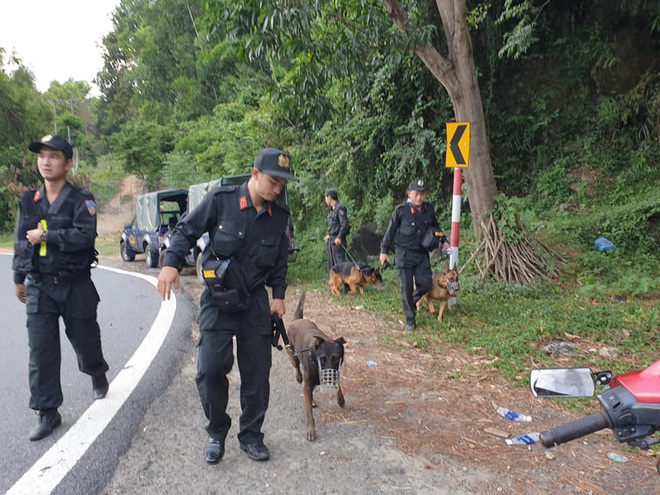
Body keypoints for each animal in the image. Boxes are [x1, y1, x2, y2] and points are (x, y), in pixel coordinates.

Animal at [284, 290, 346, 442]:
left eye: (336, 359)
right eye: (322, 359)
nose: (328, 380)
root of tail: (297, 320)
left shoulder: (335, 373)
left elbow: (338, 386)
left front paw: (340, 399)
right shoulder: (307, 385)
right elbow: (309, 414)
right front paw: (311, 430)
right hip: (293, 353)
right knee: (293, 361)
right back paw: (298, 376)